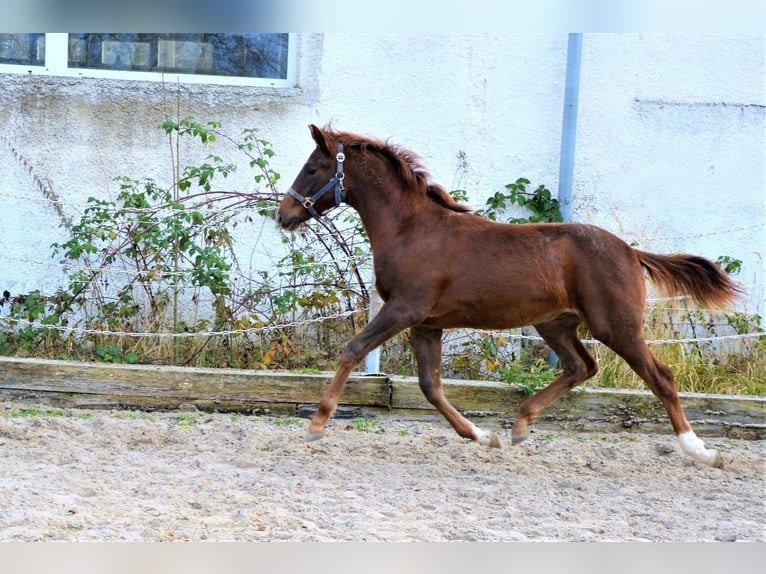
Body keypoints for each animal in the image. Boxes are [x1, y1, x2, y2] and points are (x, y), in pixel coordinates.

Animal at [276, 125, 736, 468]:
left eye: (313, 168)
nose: (284, 215)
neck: (411, 230)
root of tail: (630, 251)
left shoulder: (404, 309)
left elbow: (354, 350)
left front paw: (316, 425)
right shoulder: (426, 324)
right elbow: (431, 386)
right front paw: (483, 437)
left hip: (616, 326)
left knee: (661, 377)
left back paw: (700, 451)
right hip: (556, 323)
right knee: (581, 367)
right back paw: (519, 426)